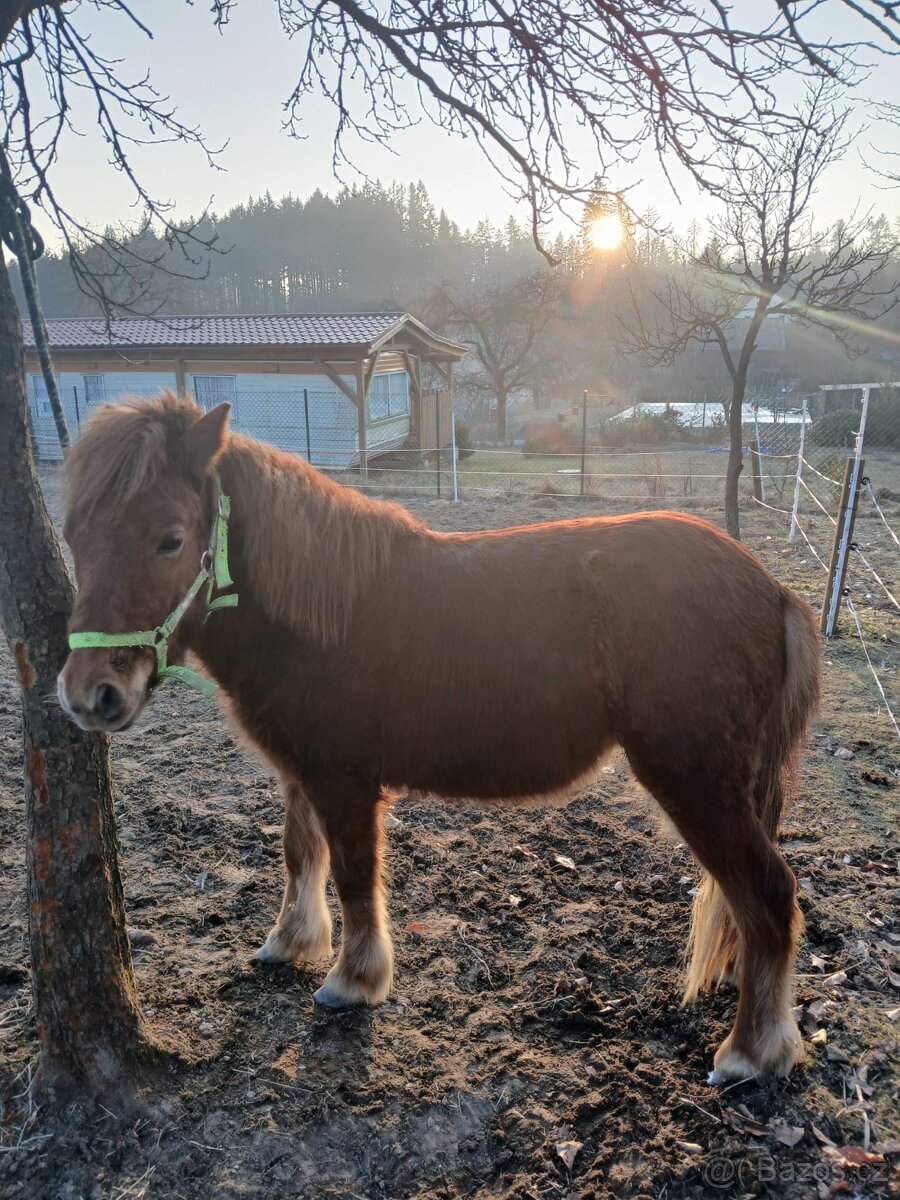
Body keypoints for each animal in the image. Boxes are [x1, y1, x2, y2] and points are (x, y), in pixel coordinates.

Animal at [57, 392, 819, 1082]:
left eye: (170, 538)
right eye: (73, 536)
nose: (90, 694)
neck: (322, 613)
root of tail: (772, 590)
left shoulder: (346, 784)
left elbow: (354, 877)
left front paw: (352, 981)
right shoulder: (302, 773)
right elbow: (300, 856)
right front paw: (289, 942)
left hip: (697, 782)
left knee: (768, 894)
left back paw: (752, 1053)